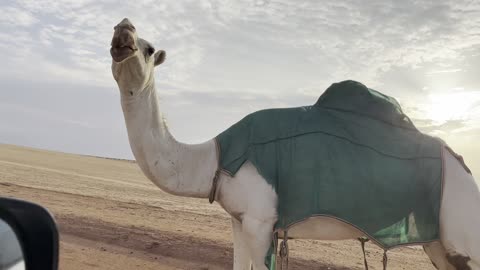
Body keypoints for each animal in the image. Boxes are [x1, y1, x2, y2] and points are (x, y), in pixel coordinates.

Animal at [109, 17, 480, 268]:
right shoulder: (239, 220)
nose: (123, 30)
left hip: (462, 228)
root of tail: (463, 167)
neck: (215, 158)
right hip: (440, 244)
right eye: (117, 32)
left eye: (149, 49)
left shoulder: (261, 222)